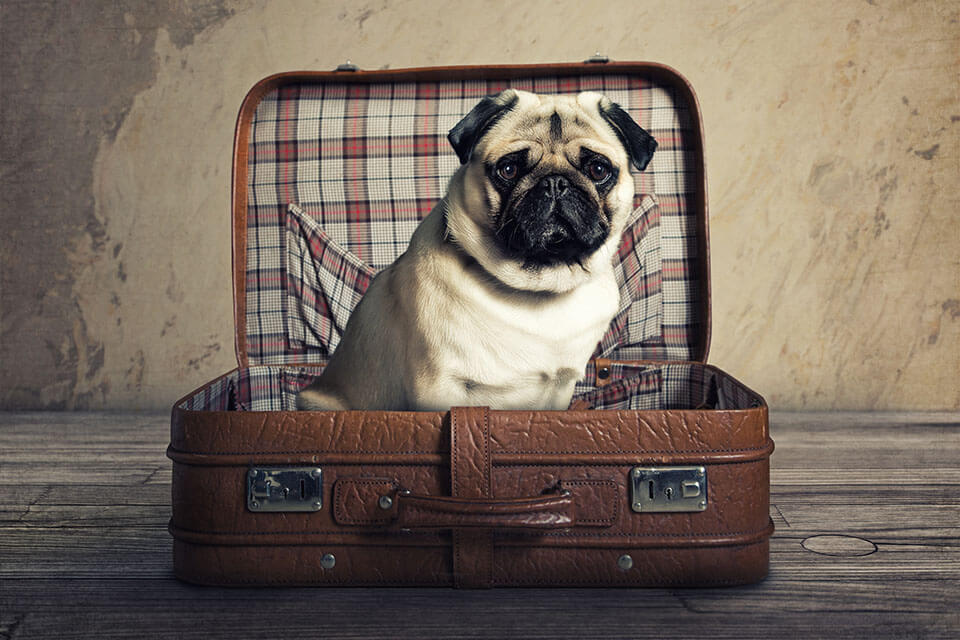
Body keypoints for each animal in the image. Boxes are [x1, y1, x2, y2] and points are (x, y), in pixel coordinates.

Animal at [296, 89, 656, 410]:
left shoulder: (561, 386)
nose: (555, 182)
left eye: (598, 170)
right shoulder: (437, 386)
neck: (538, 287)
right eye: (509, 170)